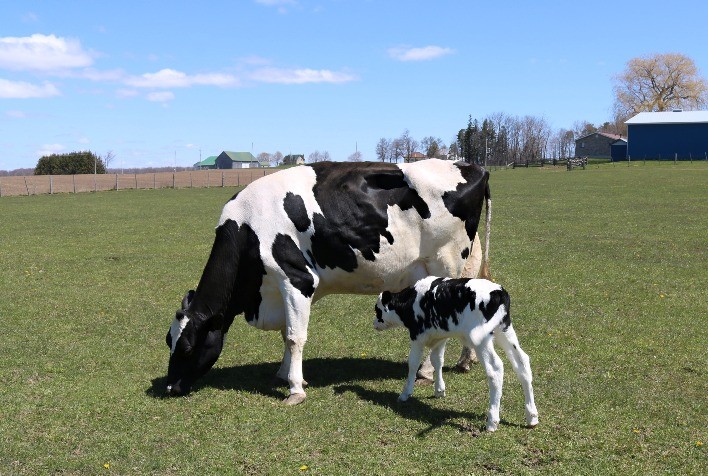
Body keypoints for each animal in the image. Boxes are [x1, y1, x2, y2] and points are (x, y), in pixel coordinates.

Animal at [165, 159, 491, 405]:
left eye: (187, 348)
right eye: (169, 340)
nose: (170, 388)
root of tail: (471, 166)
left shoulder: (297, 279)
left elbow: (295, 336)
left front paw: (295, 389)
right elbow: (286, 334)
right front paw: (284, 374)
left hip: (445, 263)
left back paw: (425, 372)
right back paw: (465, 361)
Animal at [373, 276, 539, 431]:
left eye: (377, 310)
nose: (374, 323)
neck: (412, 299)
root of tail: (498, 291)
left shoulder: (416, 336)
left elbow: (413, 363)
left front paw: (405, 394)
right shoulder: (440, 338)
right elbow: (437, 360)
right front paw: (439, 390)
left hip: (482, 340)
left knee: (495, 368)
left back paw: (492, 421)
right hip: (504, 331)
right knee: (522, 362)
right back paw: (532, 417)